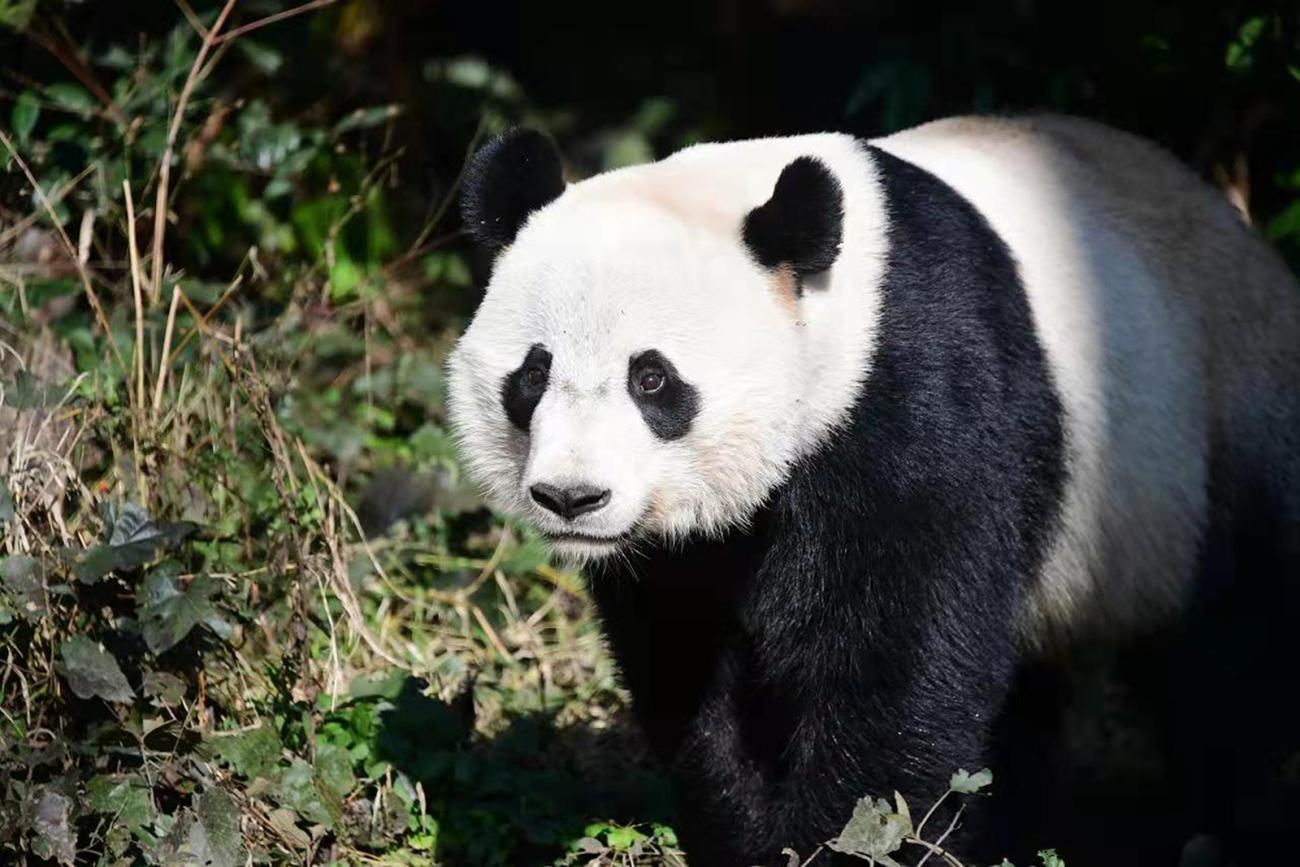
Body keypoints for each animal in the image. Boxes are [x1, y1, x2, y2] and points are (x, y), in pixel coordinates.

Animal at [444, 116, 1300, 867]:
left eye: (651, 378)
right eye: (533, 373)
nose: (571, 497)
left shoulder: (922, 392)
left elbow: (898, 655)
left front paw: (844, 843)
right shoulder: (694, 548)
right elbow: (692, 659)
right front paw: (748, 833)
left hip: (1211, 434)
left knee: (1232, 664)